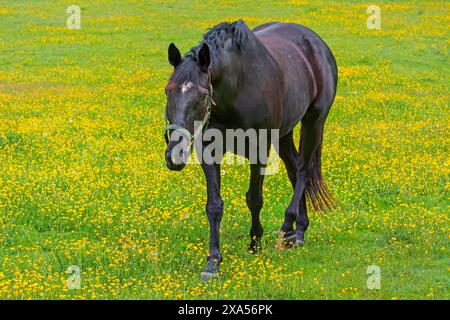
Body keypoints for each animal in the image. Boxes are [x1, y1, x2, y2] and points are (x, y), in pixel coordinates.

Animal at [163, 20, 336, 280]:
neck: (236, 87)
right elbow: (214, 206)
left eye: (203, 95)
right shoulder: (208, 151)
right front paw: (213, 261)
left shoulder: (259, 150)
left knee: (303, 171)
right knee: (294, 170)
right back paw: (300, 230)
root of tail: (317, 43)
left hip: (314, 122)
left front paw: (255, 244)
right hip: (284, 134)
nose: (175, 155)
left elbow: (254, 199)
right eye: (167, 90)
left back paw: (288, 229)